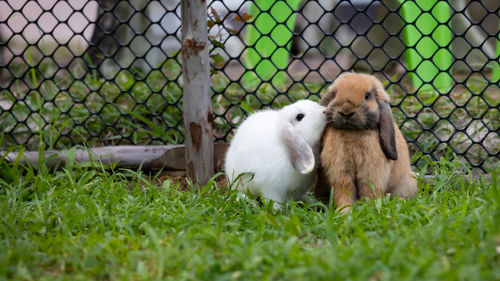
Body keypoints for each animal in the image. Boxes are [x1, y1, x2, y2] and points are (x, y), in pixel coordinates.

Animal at [316, 72, 418, 212]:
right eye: (335, 94)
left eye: (367, 96)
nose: (346, 112)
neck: (352, 132)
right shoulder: (340, 172)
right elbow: (344, 190)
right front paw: (345, 211)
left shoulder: (371, 173)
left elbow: (369, 190)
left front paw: (369, 209)